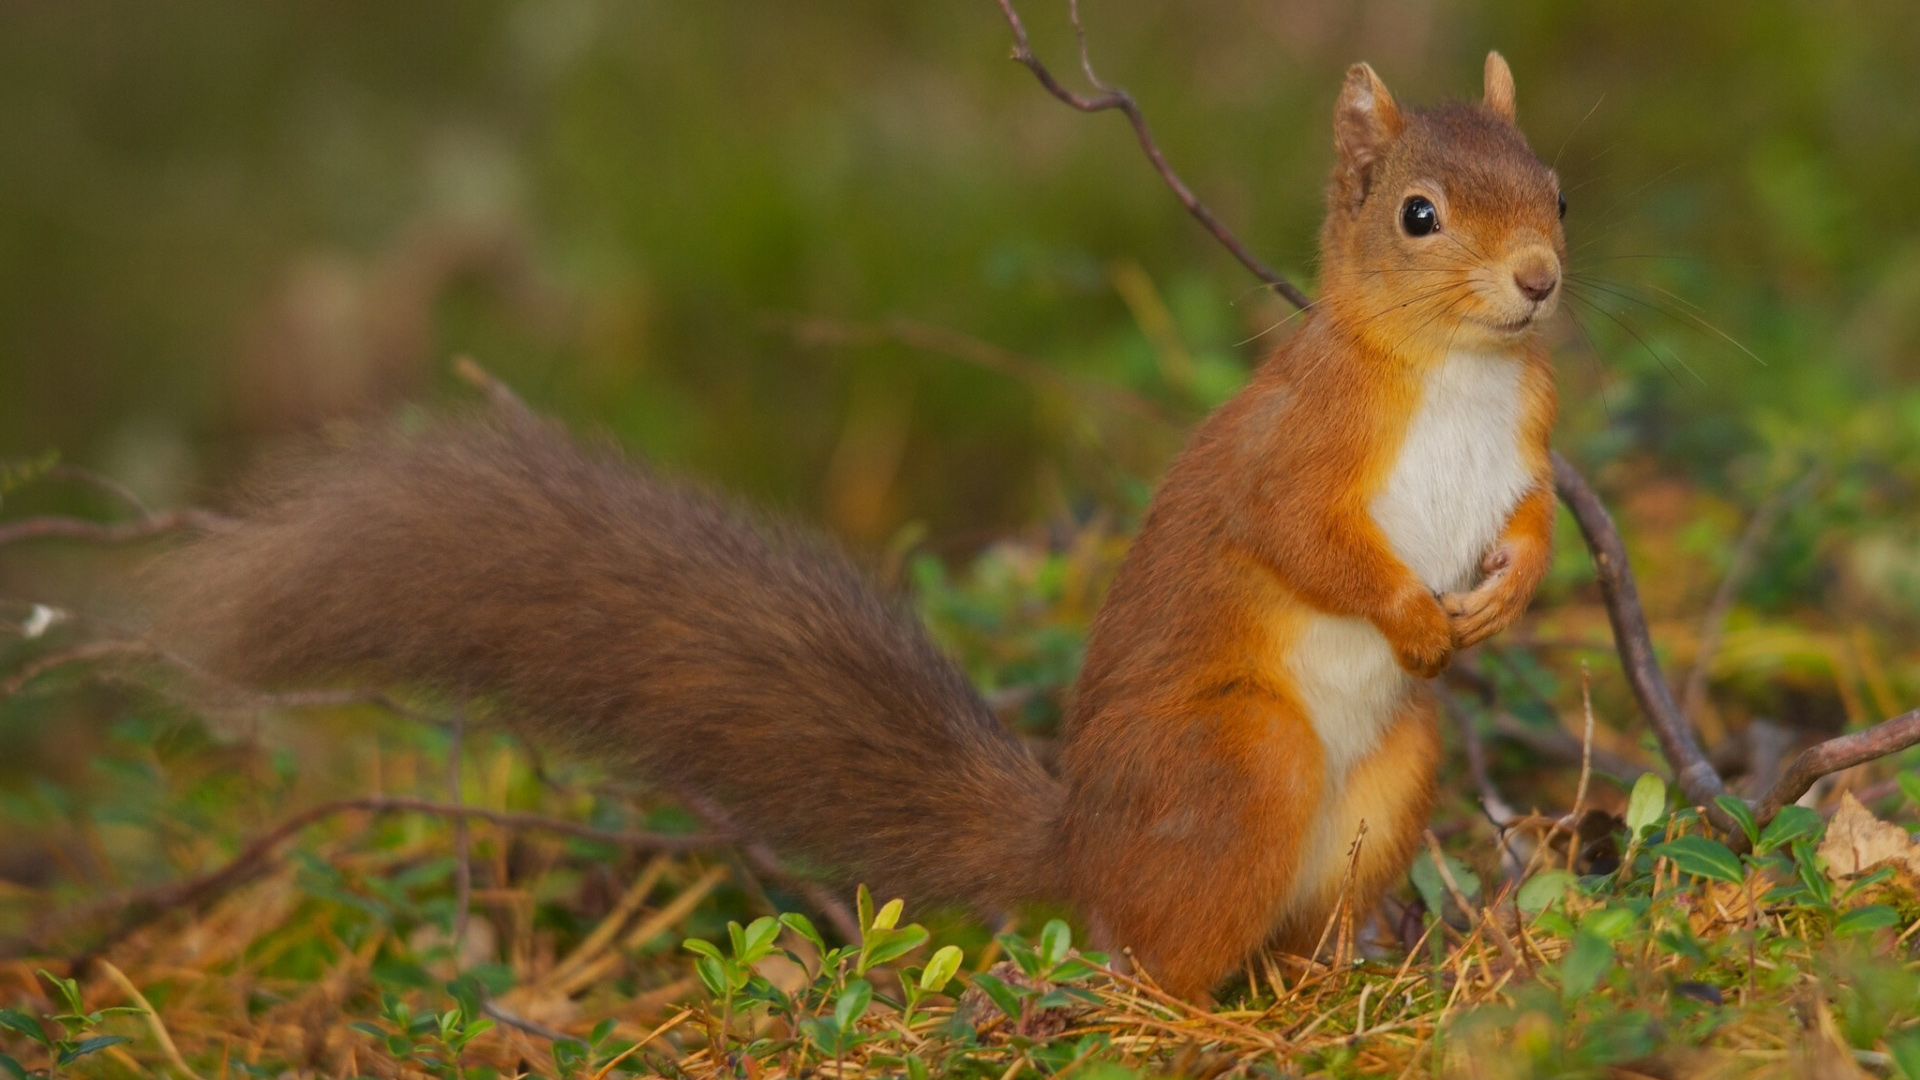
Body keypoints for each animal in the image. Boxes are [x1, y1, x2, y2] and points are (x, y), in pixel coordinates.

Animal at [161, 50, 1559, 991]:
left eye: (1553, 186)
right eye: (1418, 214)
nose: (1542, 280)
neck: (1455, 373)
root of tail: (1078, 851)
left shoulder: (1528, 440)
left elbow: (1534, 517)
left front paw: (1505, 593)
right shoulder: (1299, 449)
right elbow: (1300, 537)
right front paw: (1409, 614)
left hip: (1396, 772)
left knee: (1302, 920)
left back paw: (1349, 972)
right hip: (1239, 760)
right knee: (1152, 960)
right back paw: (1202, 1013)